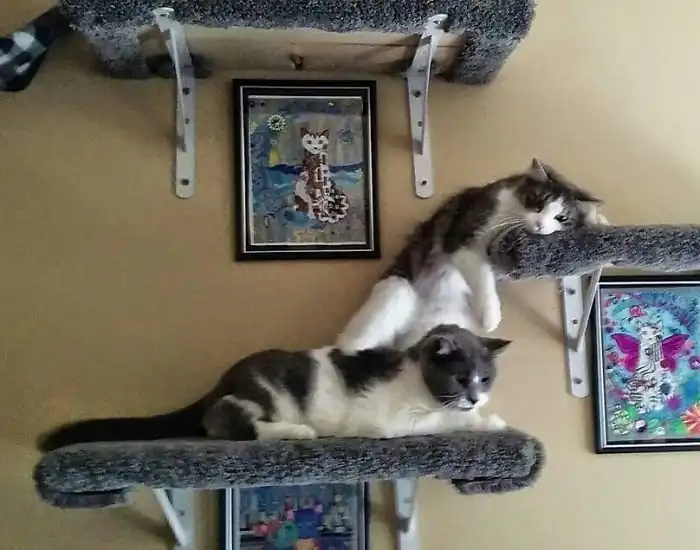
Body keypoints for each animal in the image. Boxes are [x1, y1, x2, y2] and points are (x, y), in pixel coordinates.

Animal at [37, 324, 510, 452]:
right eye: (460, 377)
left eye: (486, 378)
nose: (476, 395)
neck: (416, 381)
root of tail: (224, 377)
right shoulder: (388, 420)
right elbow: (441, 420)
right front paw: (489, 421)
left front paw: (485, 413)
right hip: (269, 391)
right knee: (224, 422)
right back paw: (297, 431)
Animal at [337, 158, 608, 352]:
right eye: (538, 202)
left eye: (561, 217)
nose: (540, 226)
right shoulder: (462, 237)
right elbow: (482, 277)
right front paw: (491, 316)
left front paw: (598, 222)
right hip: (397, 291)